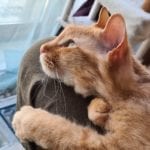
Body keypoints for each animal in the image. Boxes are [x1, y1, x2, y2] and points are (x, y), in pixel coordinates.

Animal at [12, 7, 150, 149]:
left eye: (70, 43)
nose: (41, 48)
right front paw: (100, 108)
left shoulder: (112, 145)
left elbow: (60, 130)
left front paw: (25, 119)